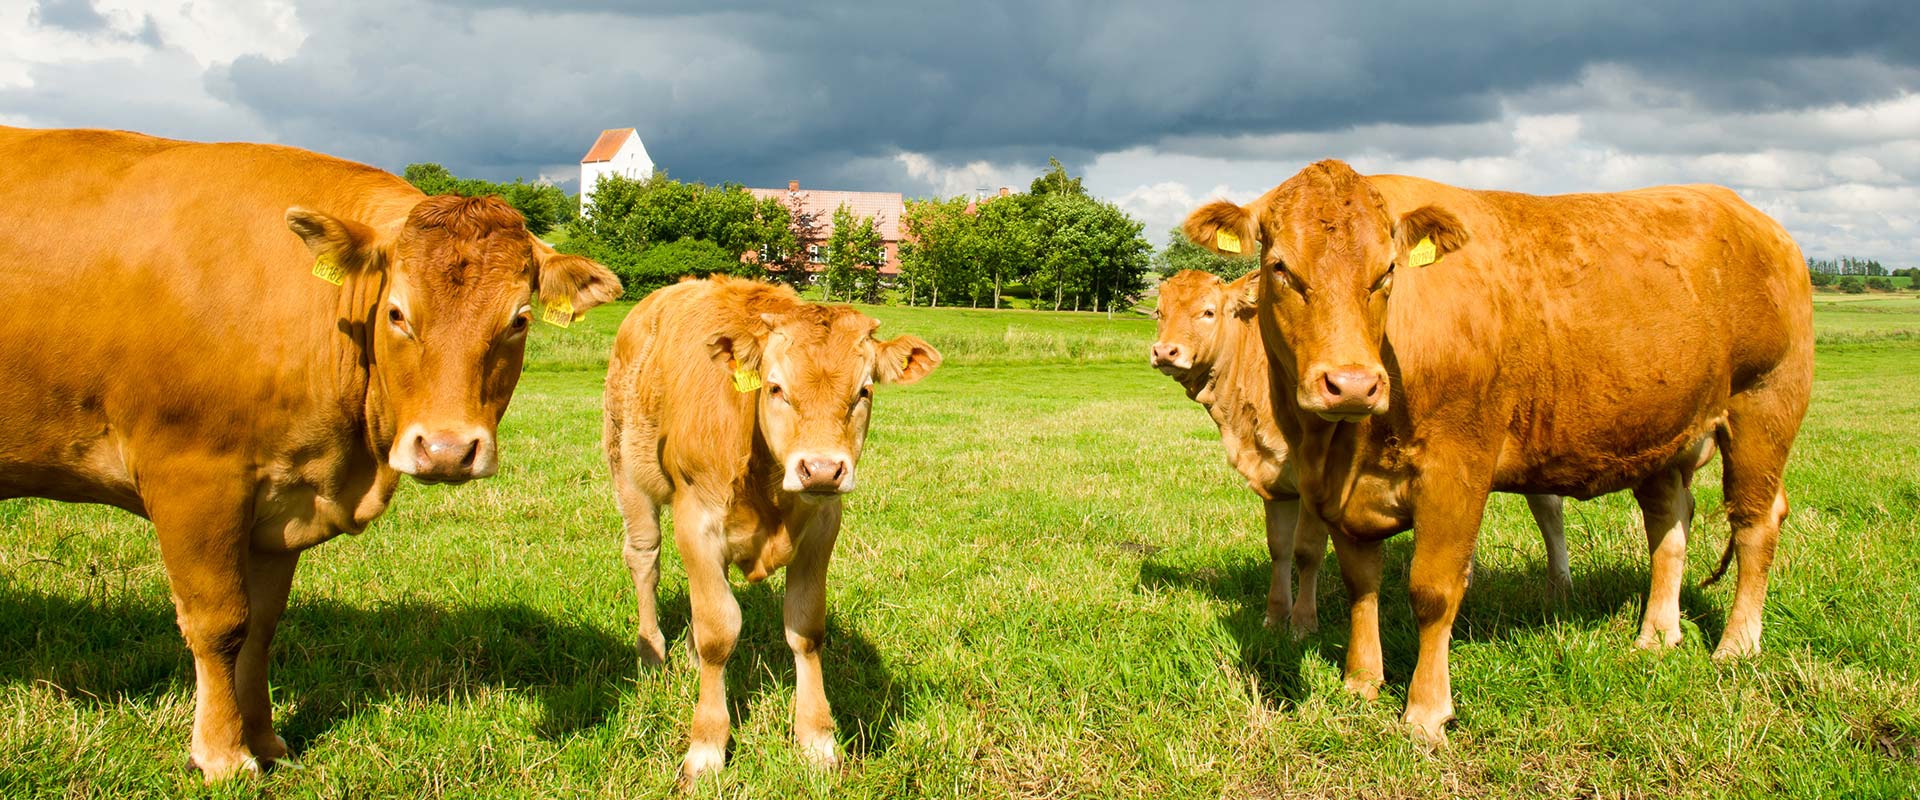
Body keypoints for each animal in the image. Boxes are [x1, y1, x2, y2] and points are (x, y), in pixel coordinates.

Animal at [0, 124, 618, 775]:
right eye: (396, 313)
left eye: (519, 320)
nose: (448, 450)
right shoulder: (193, 480)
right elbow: (219, 622)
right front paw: (223, 753)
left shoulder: (280, 500)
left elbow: (261, 625)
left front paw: (265, 739)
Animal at [595, 274, 933, 778]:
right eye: (775, 388)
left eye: (864, 391)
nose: (821, 469)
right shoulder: (696, 521)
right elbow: (718, 631)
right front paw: (707, 747)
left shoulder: (823, 527)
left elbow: (805, 628)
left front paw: (817, 739)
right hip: (628, 473)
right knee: (644, 560)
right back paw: (652, 652)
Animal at [1182, 159, 1812, 744]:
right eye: (1280, 268)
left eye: (1387, 272)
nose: (1353, 384)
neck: (1337, 444)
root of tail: (1755, 218)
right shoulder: (1343, 491)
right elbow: (1362, 582)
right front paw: (1361, 683)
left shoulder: (1457, 467)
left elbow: (1432, 589)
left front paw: (1425, 712)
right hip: (1658, 432)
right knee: (1669, 527)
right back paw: (1657, 634)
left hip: (1765, 403)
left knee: (1756, 522)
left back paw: (1736, 645)